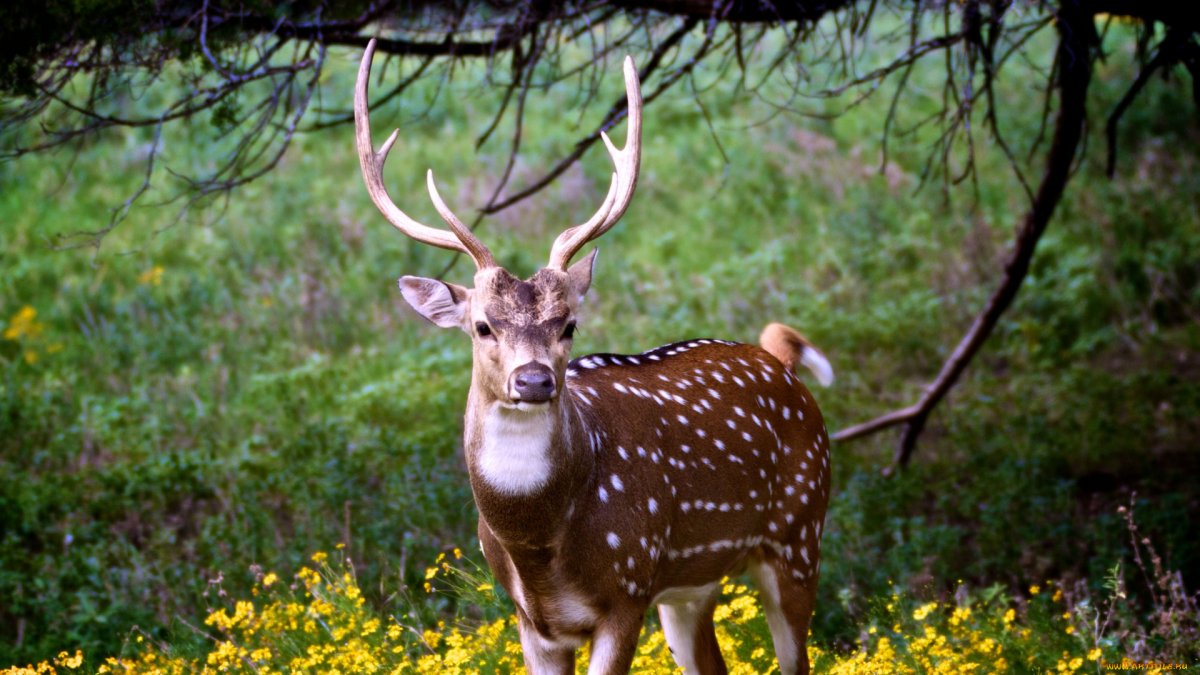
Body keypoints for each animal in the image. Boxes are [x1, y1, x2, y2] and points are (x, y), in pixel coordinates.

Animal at [354, 39, 834, 675]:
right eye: (482, 326)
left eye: (569, 324)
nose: (533, 380)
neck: (539, 545)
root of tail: (782, 364)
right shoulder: (532, 621)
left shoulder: (626, 588)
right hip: (690, 586)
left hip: (800, 529)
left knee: (795, 654)